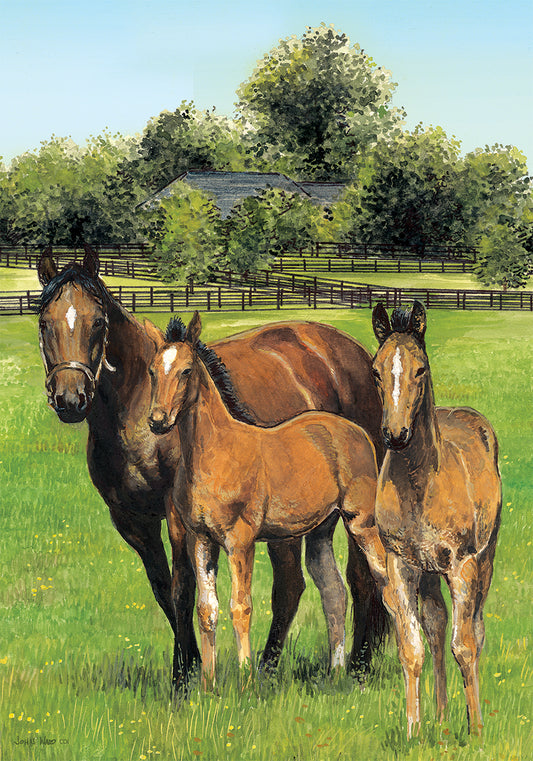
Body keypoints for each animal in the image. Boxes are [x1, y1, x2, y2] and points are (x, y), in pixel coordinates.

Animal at [145, 311, 387, 687]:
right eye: (152, 371)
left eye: (186, 370)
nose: (158, 421)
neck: (215, 452)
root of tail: (356, 430)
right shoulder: (201, 539)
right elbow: (207, 608)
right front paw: (208, 686)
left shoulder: (240, 540)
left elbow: (240, 606)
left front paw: (246, 681)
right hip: (322, 528)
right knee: (334, 590)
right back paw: (335, 672)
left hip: (361, 522)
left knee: (383, 579)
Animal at [371, 301, 501, 738]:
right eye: (376, 370)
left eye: (420, 369)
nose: (396, 434)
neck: (420, 483)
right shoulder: (401, 565)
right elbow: (412, 647)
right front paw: (413, 729)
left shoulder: (462, 565)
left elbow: (466, 645)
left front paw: (476, 730)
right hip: (429, 573)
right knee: (436, 625)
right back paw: (442, 717)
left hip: (485, 559)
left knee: (473, 628)